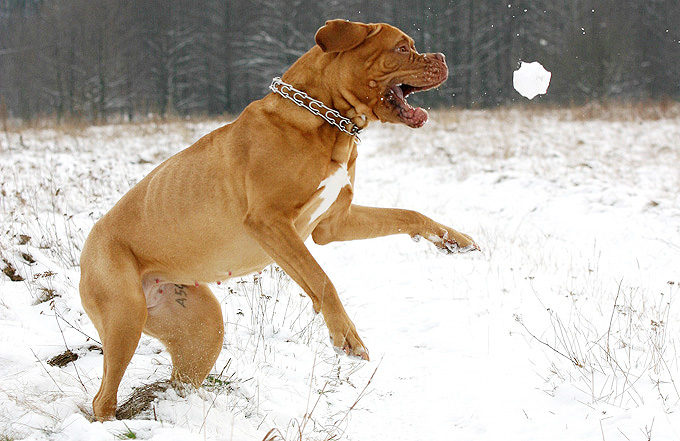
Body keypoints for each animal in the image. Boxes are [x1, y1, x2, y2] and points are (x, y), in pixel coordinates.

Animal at [79, 19, 478, 420]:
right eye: (401, 48)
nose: (442, 56)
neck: (327, 120)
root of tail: (88, 245)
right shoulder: (269, 222)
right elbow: (320, 278)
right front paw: (346, 335)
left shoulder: (334, 225)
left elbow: (407, 213)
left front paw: (454, 240)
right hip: (124, 317)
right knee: (103, 396)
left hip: (201, 330)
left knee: (181, 379)